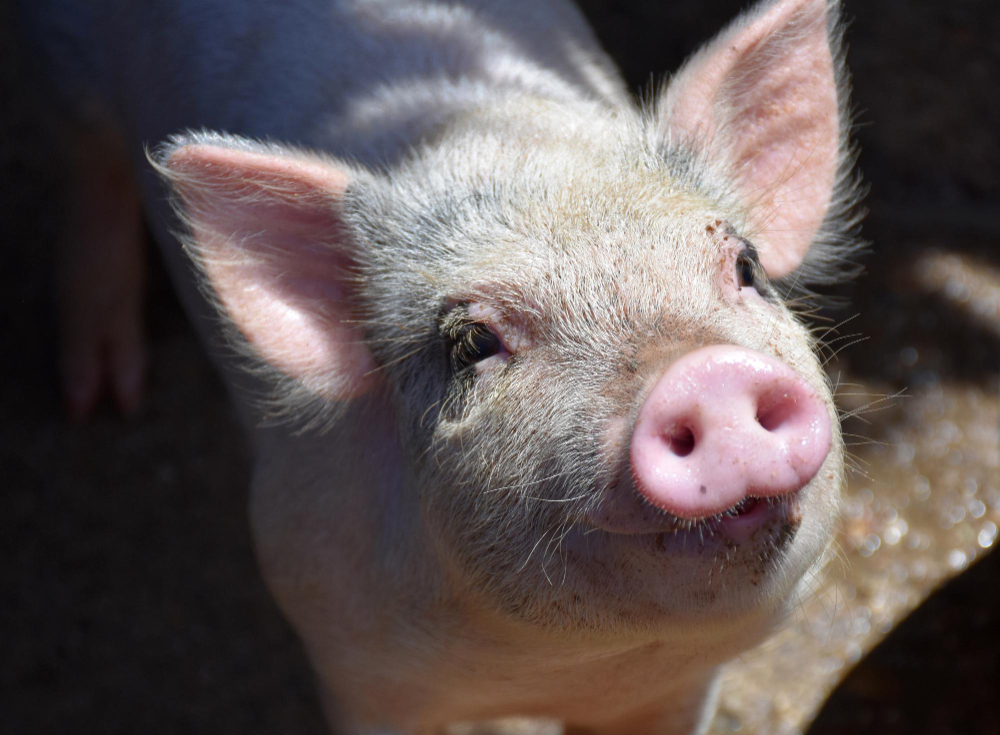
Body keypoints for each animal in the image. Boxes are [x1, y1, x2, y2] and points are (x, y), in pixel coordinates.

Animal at [20, 0, 863, 731]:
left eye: (746, 268)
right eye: (472, 343)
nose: (703, 372)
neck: (561, 666)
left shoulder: (681, 686)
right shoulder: (340, 639)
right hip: (64, 57)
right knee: (83, 155)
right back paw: (101, 395)